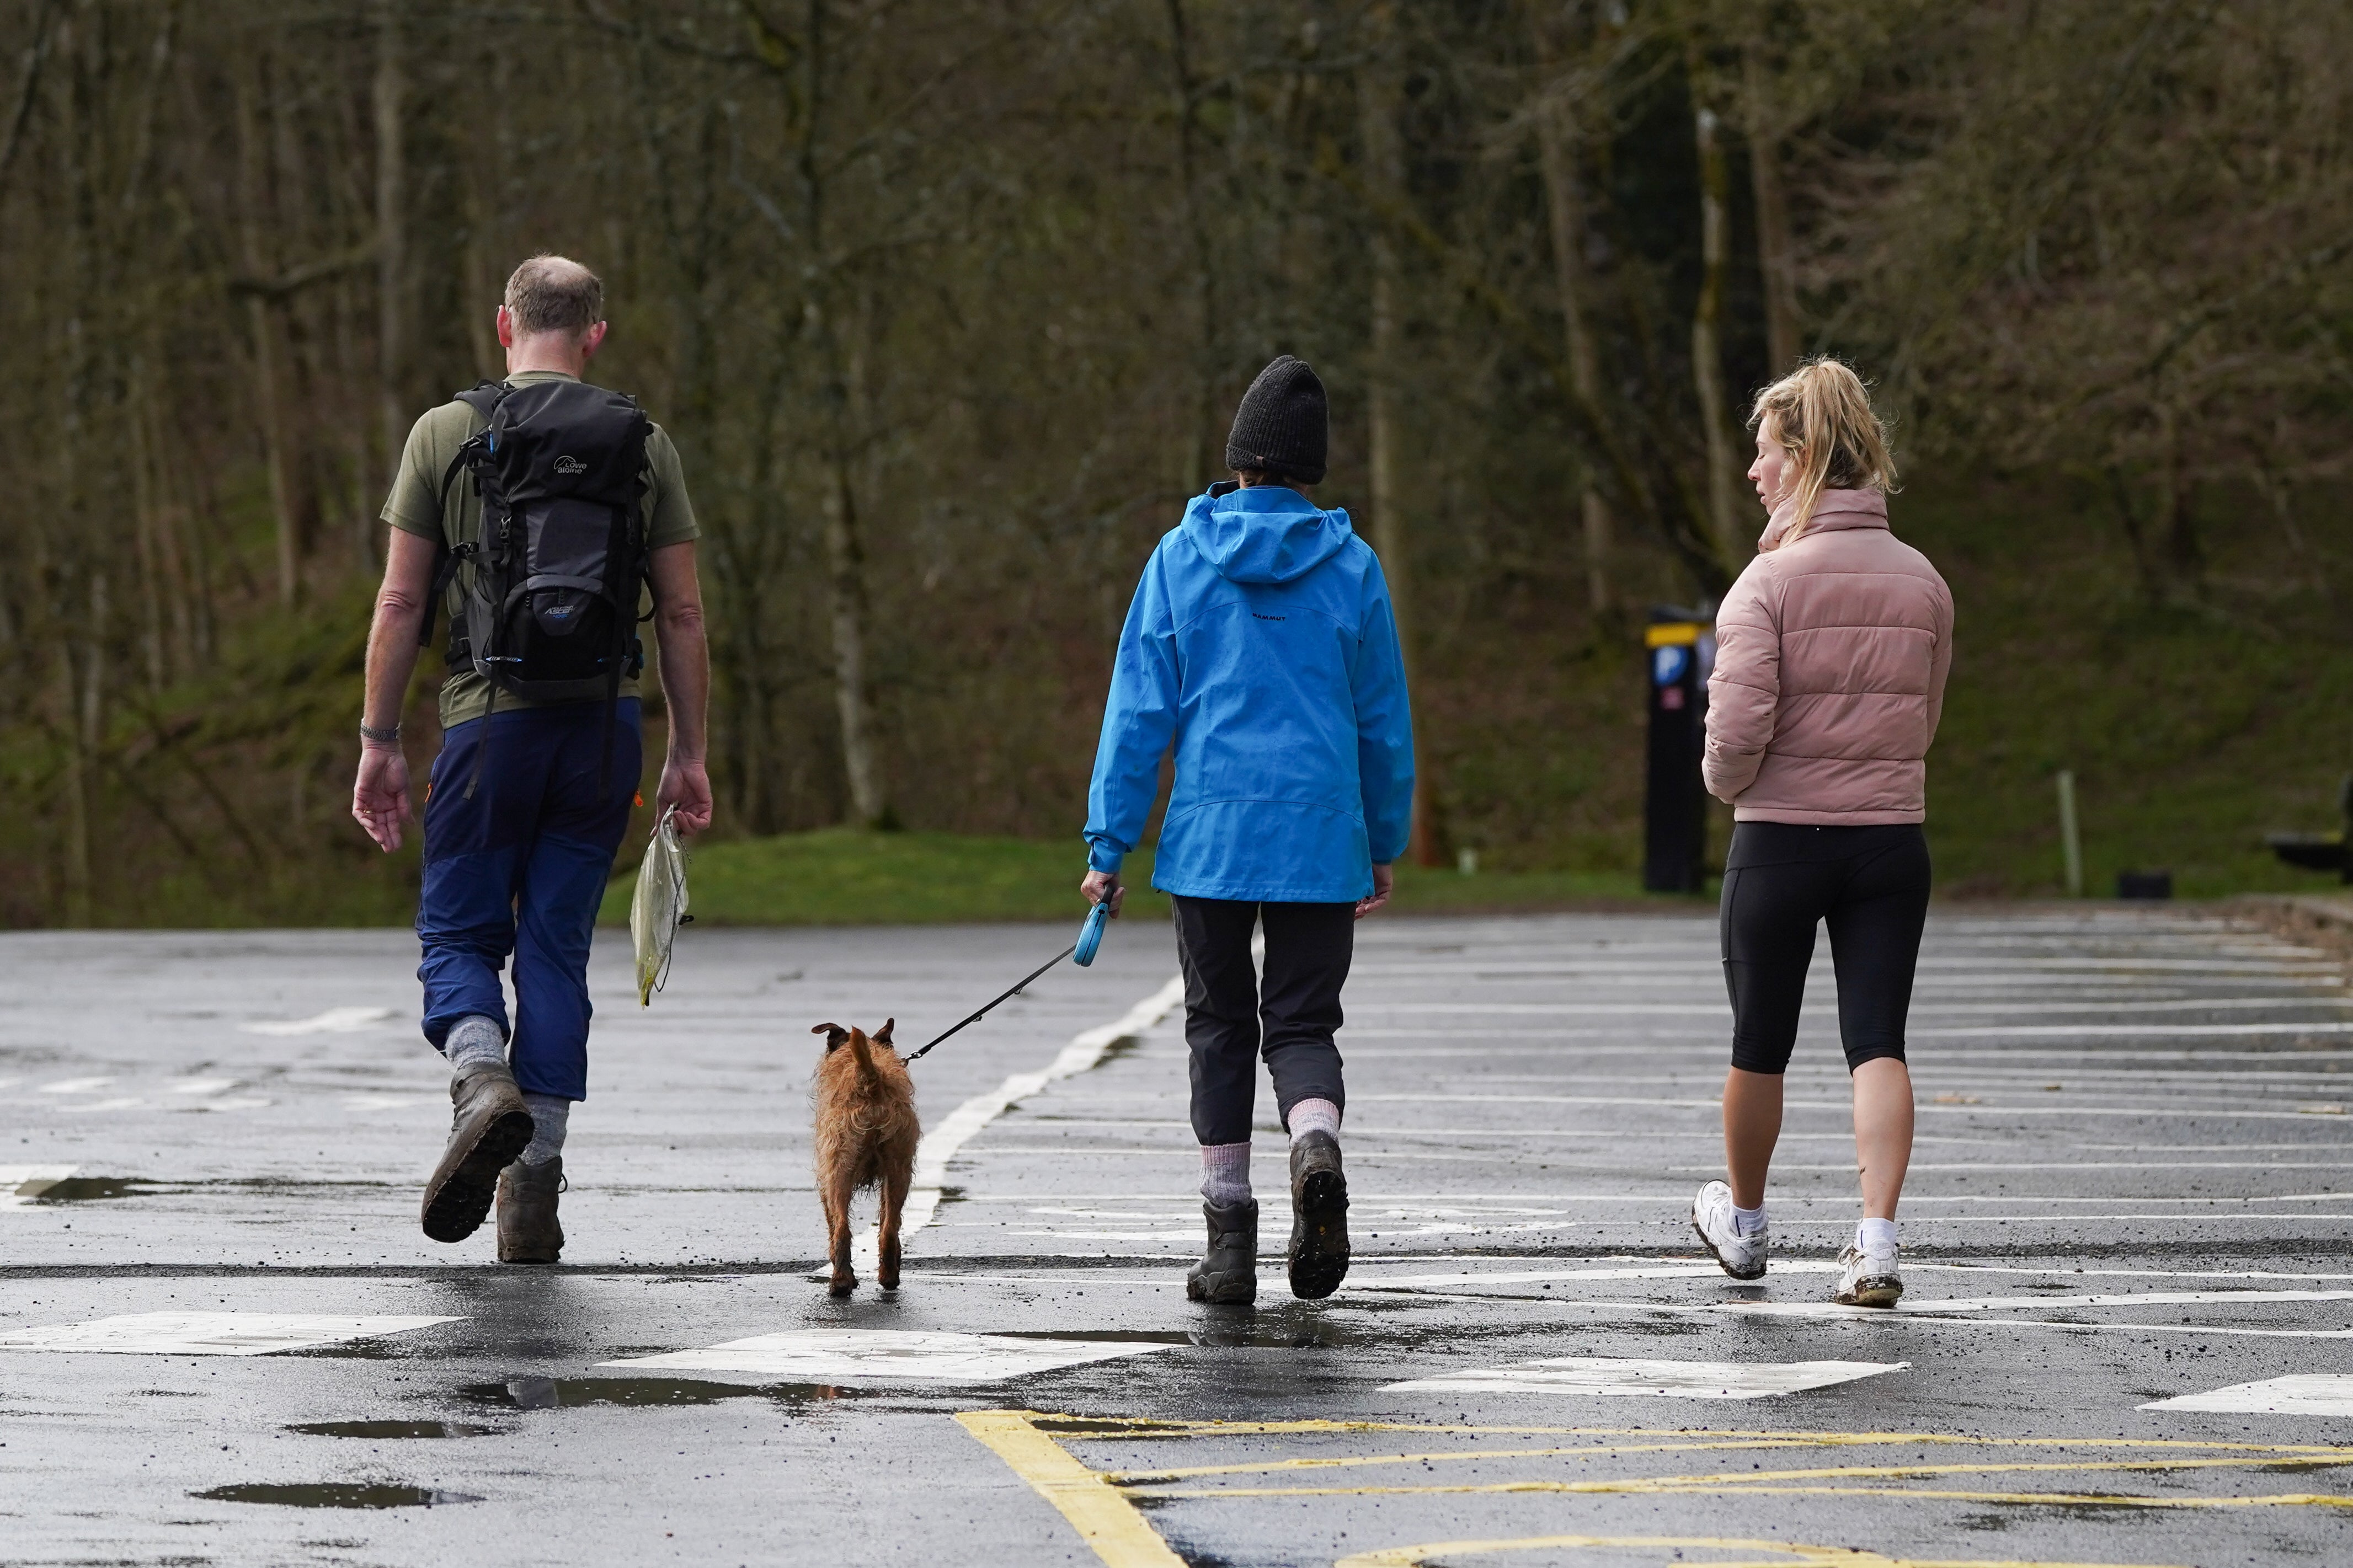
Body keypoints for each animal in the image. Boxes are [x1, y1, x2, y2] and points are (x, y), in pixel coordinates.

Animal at [809, 1020, 917, 1297]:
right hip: (899, 1169)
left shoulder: (825, 1179)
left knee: (841, 1229)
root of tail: (870, 1080)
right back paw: (888, 1277)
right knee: (889, 1228)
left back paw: (841, 1283)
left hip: (838, 1171)